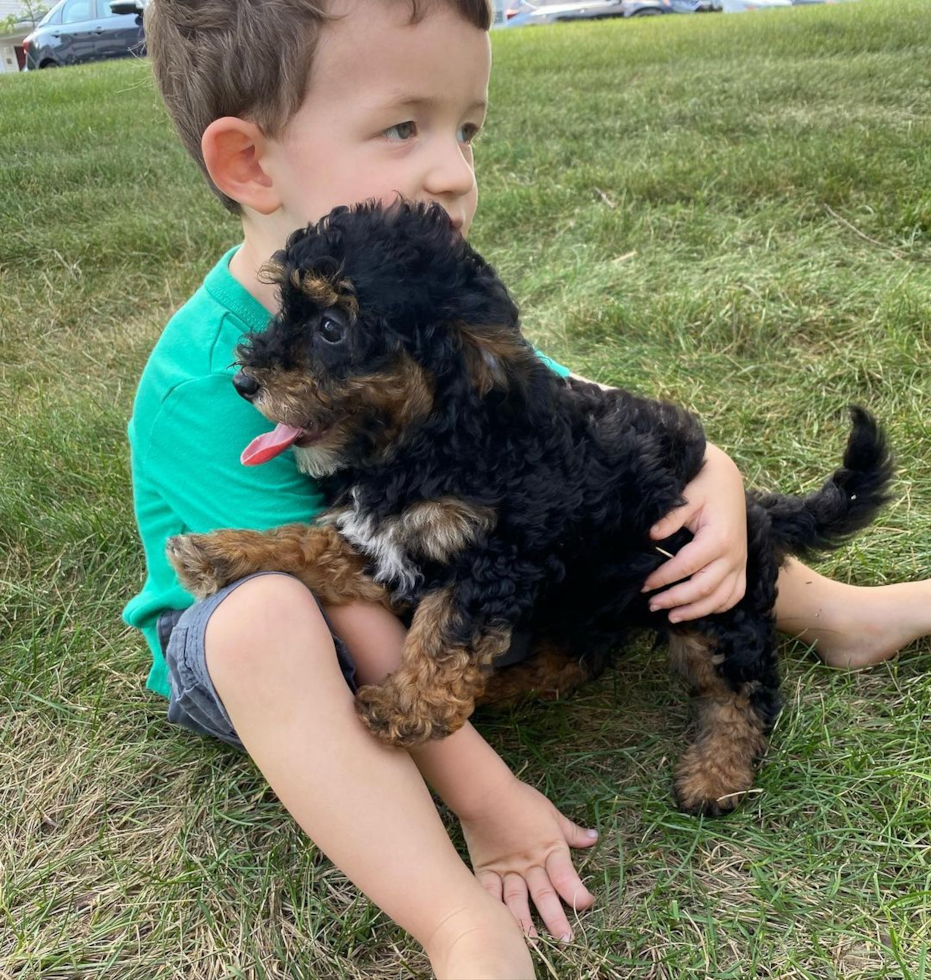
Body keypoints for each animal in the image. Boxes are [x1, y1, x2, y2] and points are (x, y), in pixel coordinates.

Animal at [169, 201, 896, 820]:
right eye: (285, 309)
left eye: (330, 326)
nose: (245, 380)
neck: (429, 442)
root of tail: (755, 511)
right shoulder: (392, 548)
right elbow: (310, 546)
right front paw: (222, 552)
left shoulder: (498, 558)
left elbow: (446, 631)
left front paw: (406, 707)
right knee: (575, 660)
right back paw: (503, 687)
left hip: (710, 604)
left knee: (743, 689)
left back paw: (717, 774)